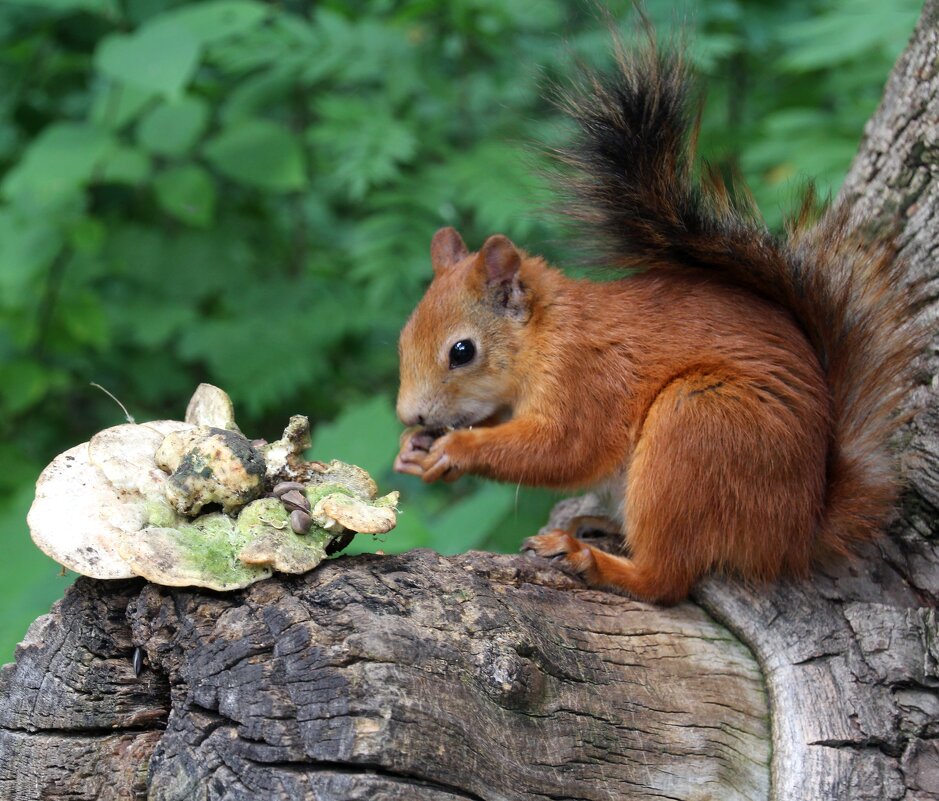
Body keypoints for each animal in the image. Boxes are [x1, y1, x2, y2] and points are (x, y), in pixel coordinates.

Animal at [392, 34, 920, 604]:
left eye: (462, 352)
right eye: (402, 340)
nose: (409, 416)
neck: (544, 335)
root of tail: (796, 534)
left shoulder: (587, 377)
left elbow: (565, 449)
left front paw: (457, 447)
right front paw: (412, 452)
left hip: (698, 427)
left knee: (666, 578)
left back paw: (592, 560)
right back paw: (598, 527)